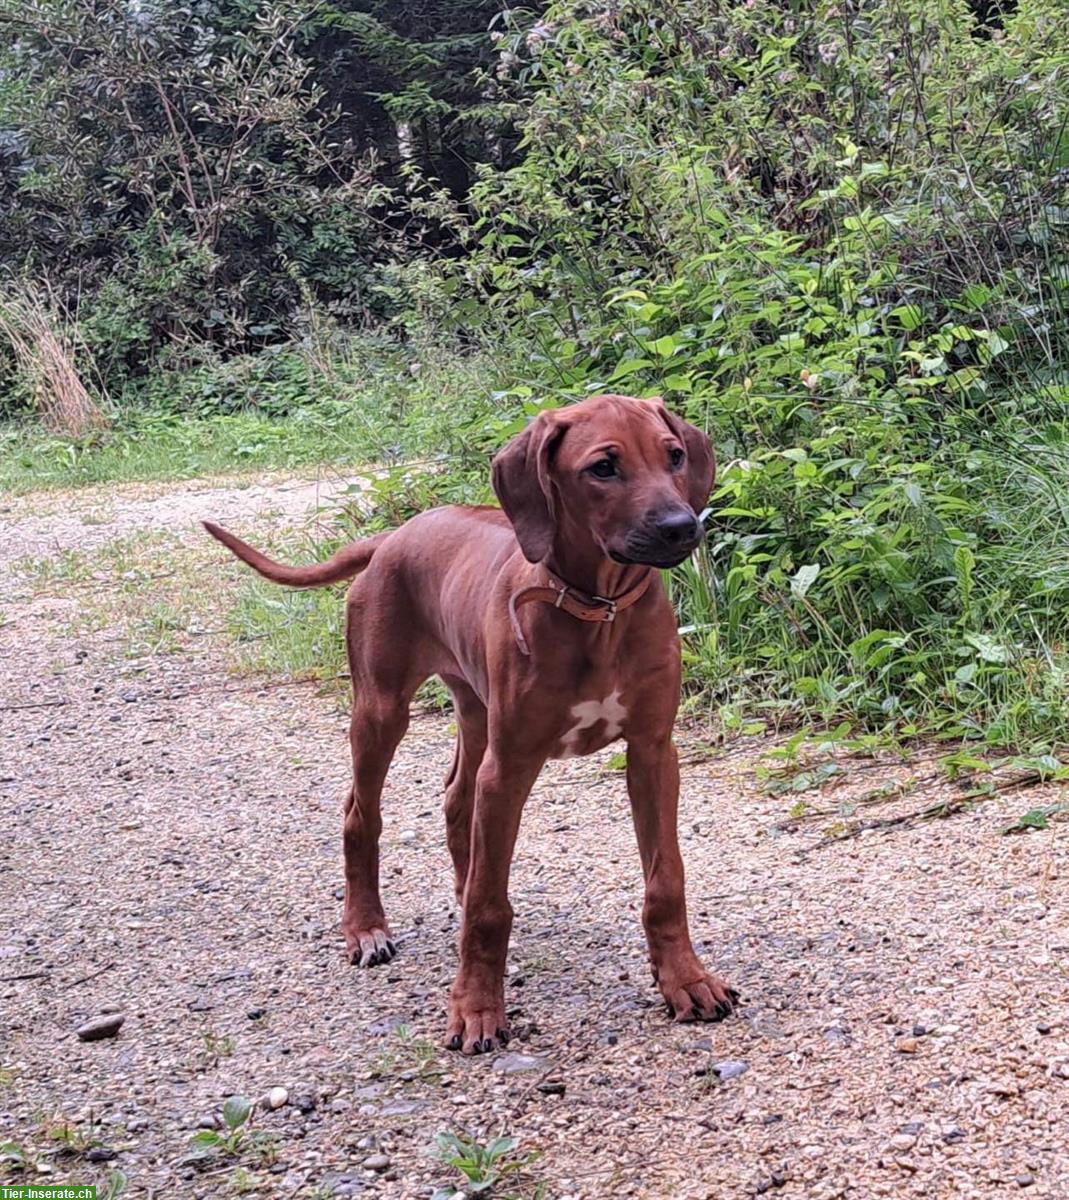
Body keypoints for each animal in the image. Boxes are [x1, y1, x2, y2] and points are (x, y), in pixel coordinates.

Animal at [209, 391, 743, 1051]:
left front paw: (686, 980)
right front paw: (477, 1008)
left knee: (457, 799)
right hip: (383, 707)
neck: (597, 611)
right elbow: (492, 911)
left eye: (673, 457)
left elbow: (666, 882)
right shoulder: (511, 765)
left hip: (475, 710)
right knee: (362, 813)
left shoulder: (653, 752)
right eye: (603, 468)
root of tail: (393, 535)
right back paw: (365, 928)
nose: (681, 527)